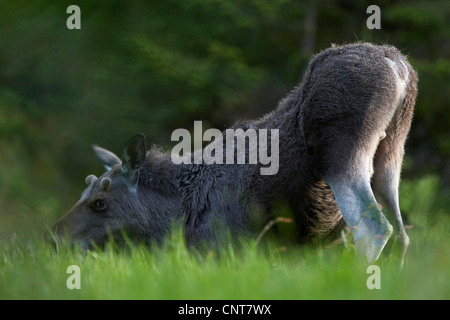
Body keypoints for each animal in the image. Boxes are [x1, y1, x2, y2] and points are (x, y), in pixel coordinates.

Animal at [50, 42, 418, 264]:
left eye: (100, 202)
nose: (52, 237)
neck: (172, 215)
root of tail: (399, 67)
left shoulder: (223, 249)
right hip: (390, 157)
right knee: (401, 233)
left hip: (343, 156)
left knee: (374, 228)